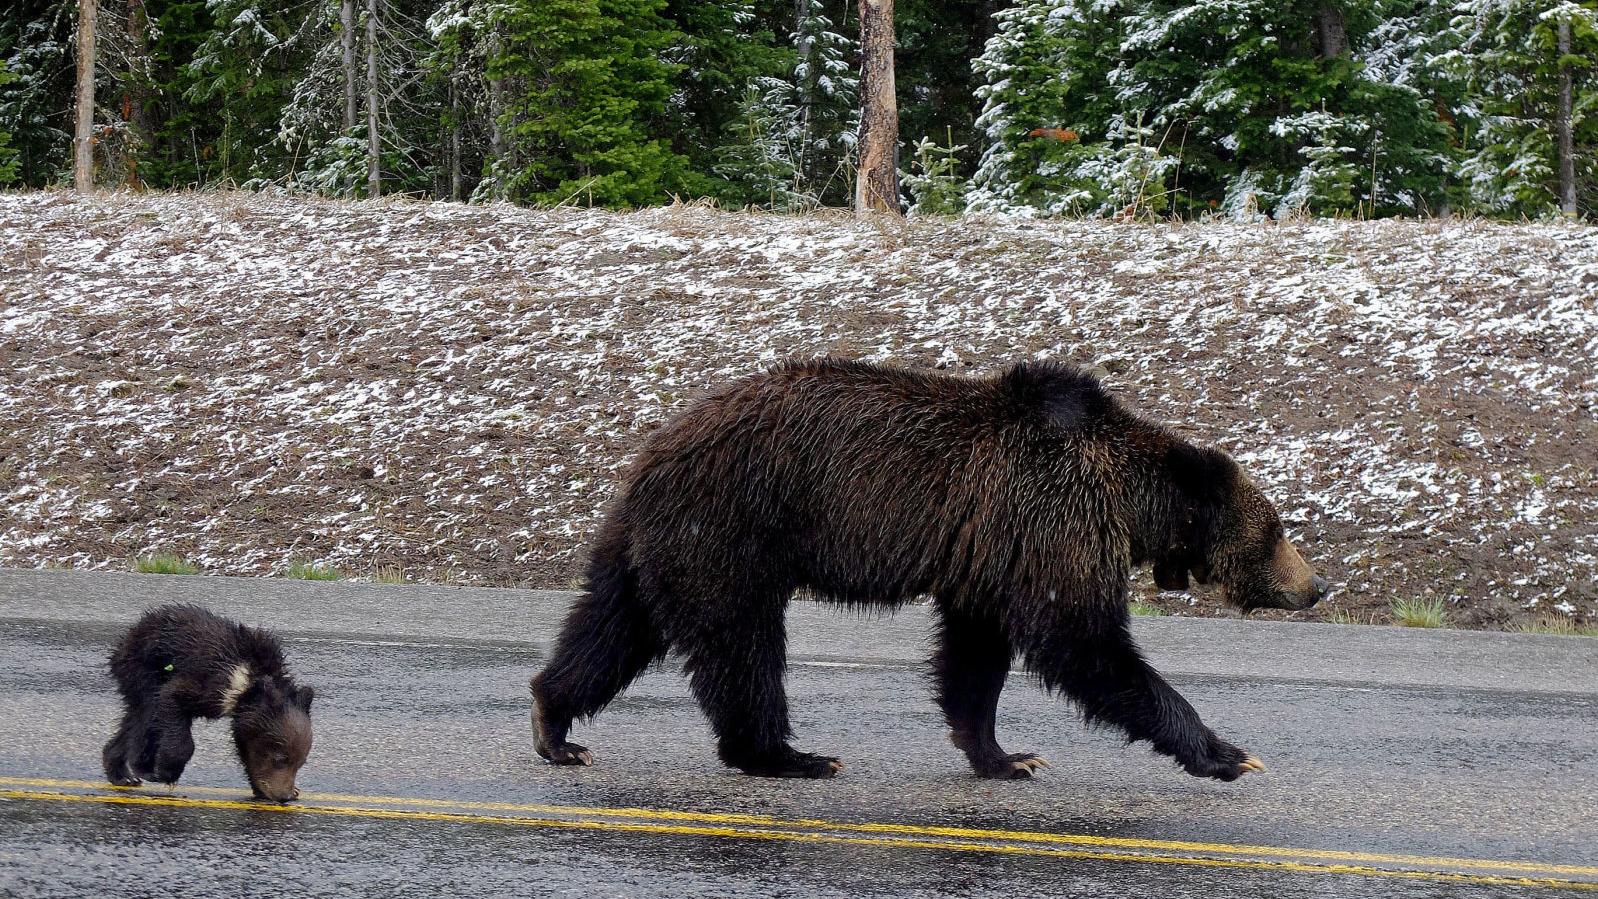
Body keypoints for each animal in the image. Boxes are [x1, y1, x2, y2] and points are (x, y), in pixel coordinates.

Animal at [103, 604, 314, 802]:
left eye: (301, 762)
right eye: (280, 758)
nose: (285, 796)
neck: (247, 686)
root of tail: (132, 631)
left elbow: (247, 748)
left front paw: (263, 788)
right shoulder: (210, 684)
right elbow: (172, 699)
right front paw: (167, 771)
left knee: (133, 719)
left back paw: (121, 774)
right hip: (142, 670)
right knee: (146, 714)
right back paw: (141, 768)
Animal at [531, 358, 1327, 781]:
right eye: (1278, 529)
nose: (1315, 585)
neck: (1128, 502)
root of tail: (655, 448)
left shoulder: (993, 554)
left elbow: (976, 656)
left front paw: (1004, 755)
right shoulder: (1049, 517)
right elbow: (1085, 644)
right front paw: (1228, 752)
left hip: (651, 542)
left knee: (611, 624)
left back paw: (555, 723)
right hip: (733, 526)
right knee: (741, 643)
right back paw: (788, 754)